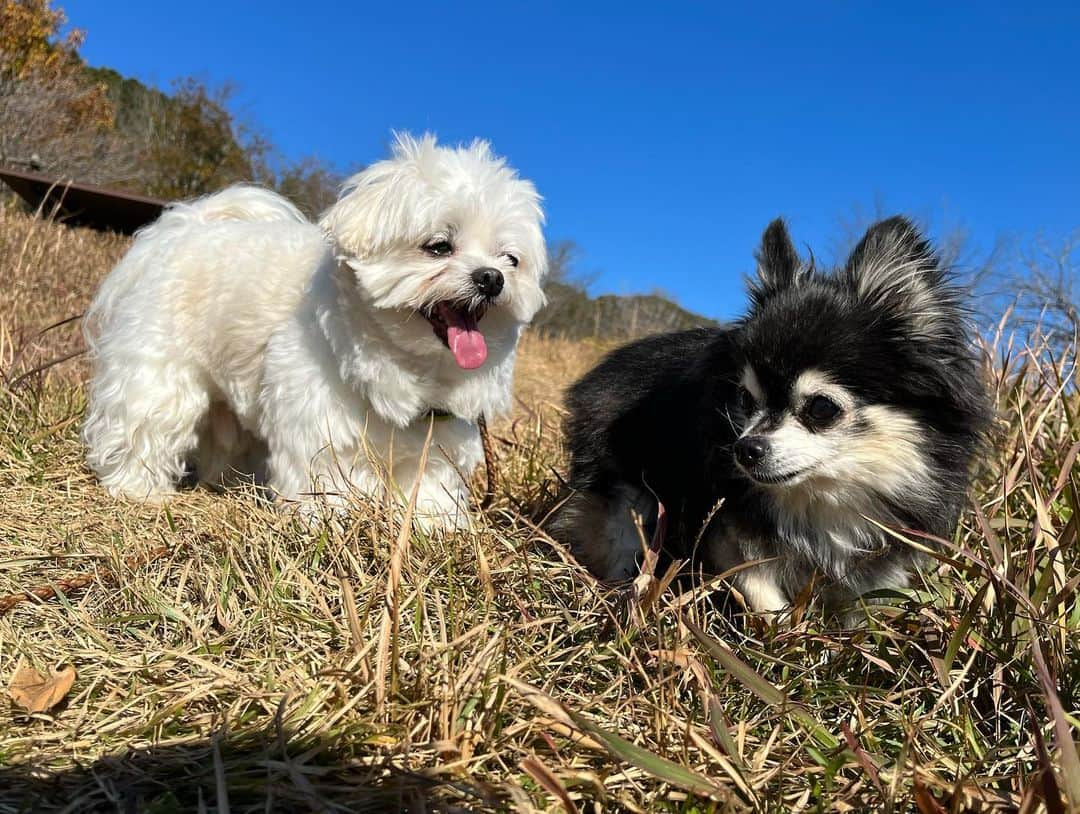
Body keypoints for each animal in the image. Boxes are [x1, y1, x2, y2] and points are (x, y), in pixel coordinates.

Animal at [82, 133, 548, 526]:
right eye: (439, 246)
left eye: (510, 259)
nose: (491, 278)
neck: (413, 366)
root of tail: (190, 225)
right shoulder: (320, 426)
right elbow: (326, 482)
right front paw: (330, 523)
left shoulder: (437, 443)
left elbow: (430, 490)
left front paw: (432, 529)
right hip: (159, 375)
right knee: (143, 422)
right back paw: (137, 488)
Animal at [552, 219, 989, 613]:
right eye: (745, 399)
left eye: (822, 408)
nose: (745, 449)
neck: (825, 499)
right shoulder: (729, 531)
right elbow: (760, 591)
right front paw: (773, 642)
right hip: (628, 495)